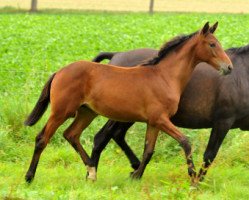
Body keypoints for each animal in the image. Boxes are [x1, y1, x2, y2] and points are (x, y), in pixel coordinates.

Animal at [24, 22, 232, 184]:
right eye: (212, 44)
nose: (229, 67)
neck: (164, 77)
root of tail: (59, 72)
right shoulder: (161, 119)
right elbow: (185, 142)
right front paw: (193, 178)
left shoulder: (153, 122)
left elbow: (148, 150)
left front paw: (135, 176)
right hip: (61, 111)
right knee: (42, 138)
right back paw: (29, 177)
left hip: (87, 112)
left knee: (71, 135)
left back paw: (91, 171)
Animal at [89, 39, 249, 183]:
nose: (228, 67)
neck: (243, 75)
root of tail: (116, 55)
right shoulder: (223, 122)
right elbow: (209, 154)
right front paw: (197, 182)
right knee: (102, 137)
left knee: (116, 135)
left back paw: (134, 167)